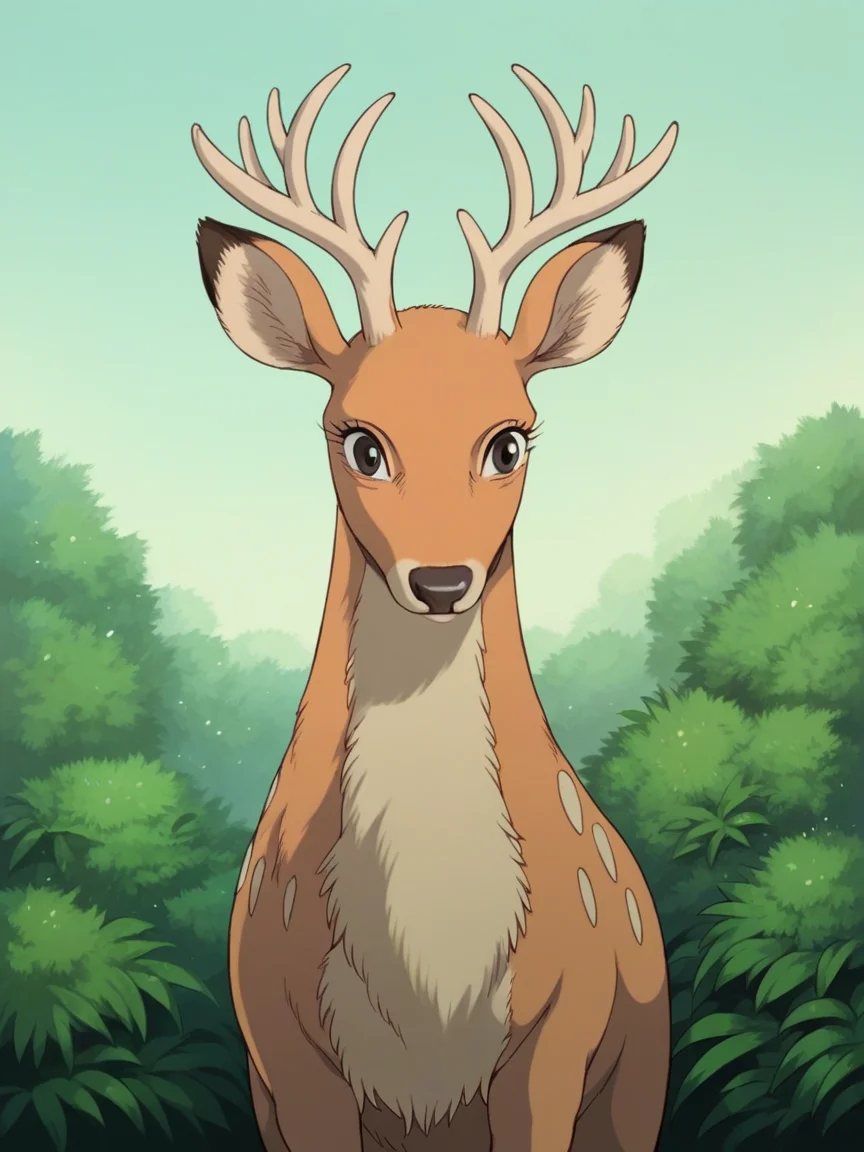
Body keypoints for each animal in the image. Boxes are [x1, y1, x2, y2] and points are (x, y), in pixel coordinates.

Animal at [190, 62, 678, 1152]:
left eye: (511, 438)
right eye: (358, 438)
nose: (444, 580)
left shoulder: (559, 1031)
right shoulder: (286, 1051)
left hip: (642, 1078)